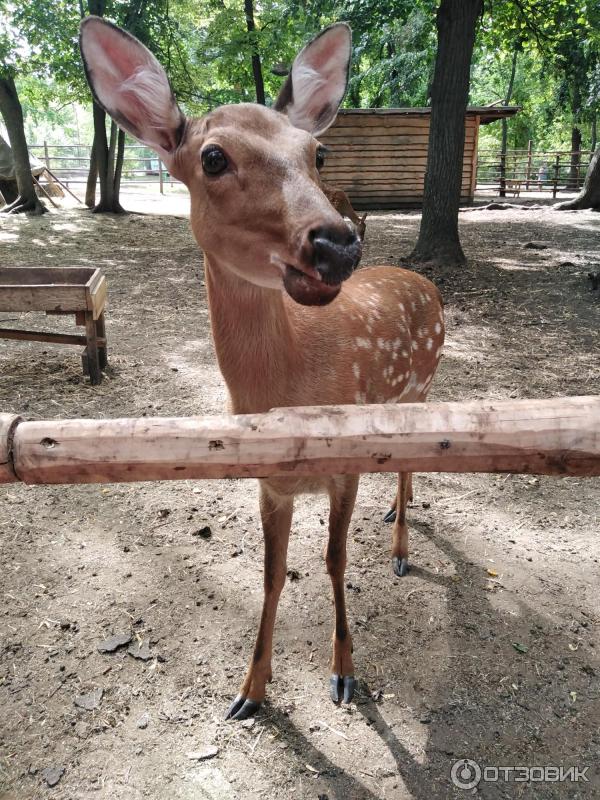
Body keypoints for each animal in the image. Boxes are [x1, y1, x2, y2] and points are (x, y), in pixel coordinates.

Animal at [78, 17, 446, 720]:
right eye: (213, 157)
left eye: (318, 154)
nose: (336, 242)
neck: (289, 385)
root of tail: (428, 284)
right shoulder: (269, 483)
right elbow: (272, 574)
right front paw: (250, 690)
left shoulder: (344, 465)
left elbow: (333, 562)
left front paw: (344, 673)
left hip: (421, 384)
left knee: (411, 457)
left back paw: (401, 548)